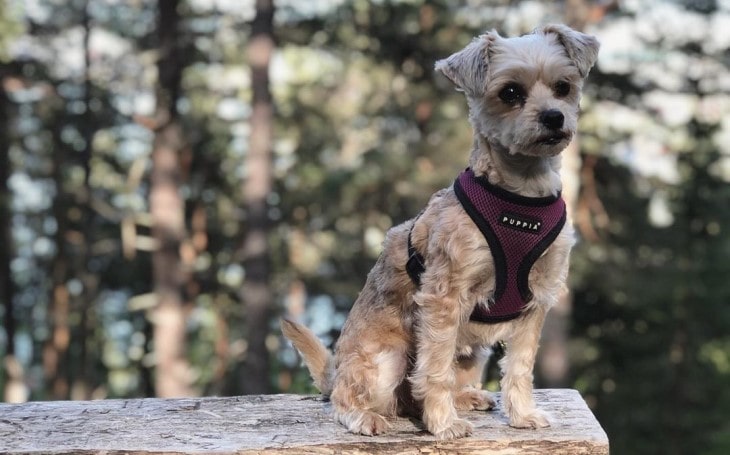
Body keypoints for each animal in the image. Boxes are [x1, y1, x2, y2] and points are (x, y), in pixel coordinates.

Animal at [280, 25, 596, 442]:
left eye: (563, 86)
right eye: (510, 92)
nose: (553, 116)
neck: (521, 194)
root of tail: (336, 372)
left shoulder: (537, 298)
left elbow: (520, 366)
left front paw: (522, 414)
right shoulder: (445, 296)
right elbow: (433, 370)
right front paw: (444, 424)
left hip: (473, 351)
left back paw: (467, 397)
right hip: (387, 358)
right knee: (349, 397)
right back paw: (366, 416)